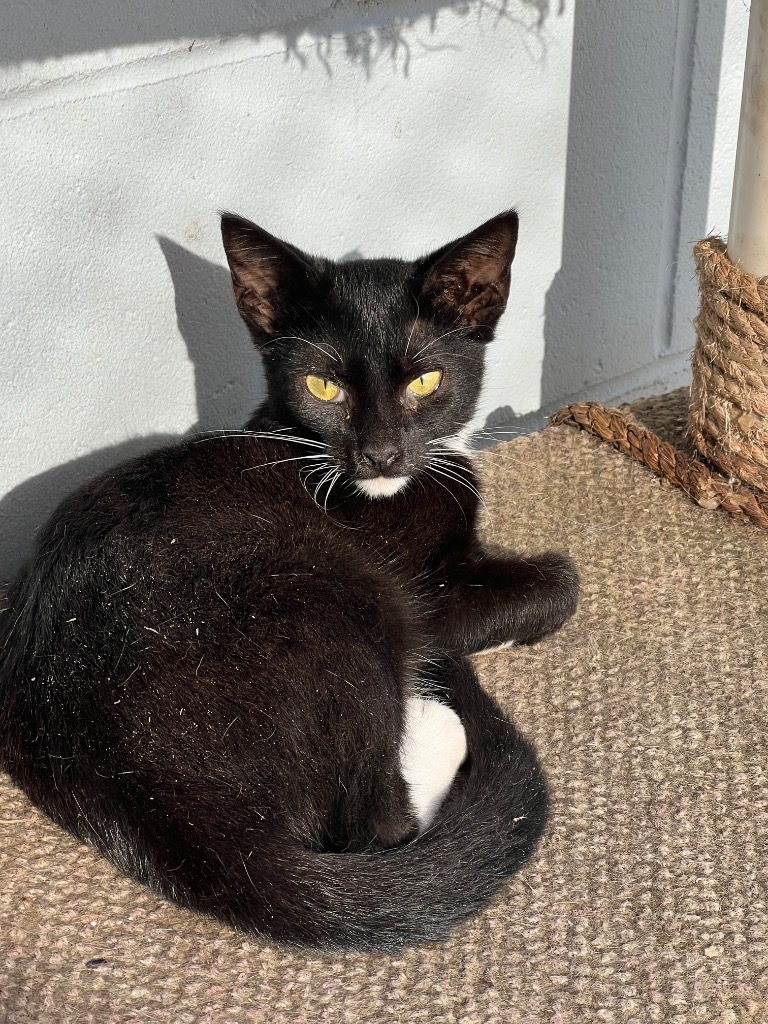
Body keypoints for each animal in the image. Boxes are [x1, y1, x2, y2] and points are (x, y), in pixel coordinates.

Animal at [0, 211, 577, 954]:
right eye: (324, 387)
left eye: (425, 381)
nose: (380, 455)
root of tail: (129, 784)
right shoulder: (420, 589)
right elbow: (562, 581)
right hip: (344, 597)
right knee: (377, 823)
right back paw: (431, 718)